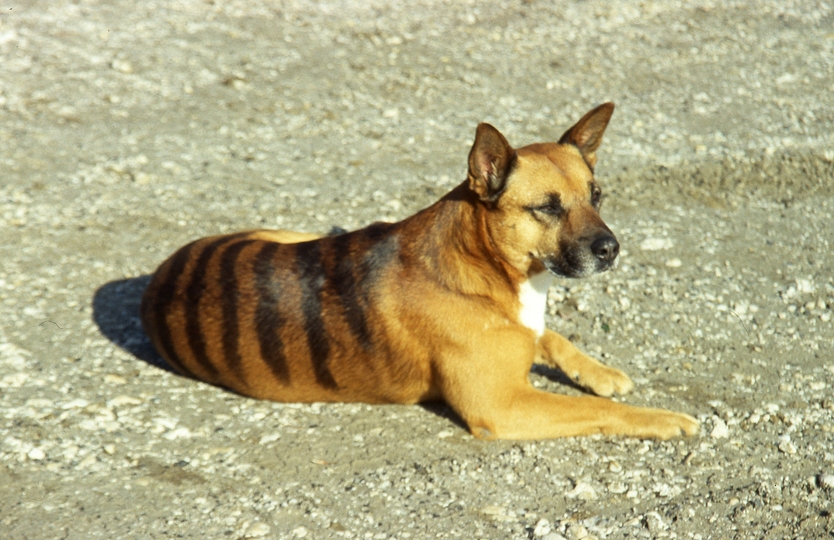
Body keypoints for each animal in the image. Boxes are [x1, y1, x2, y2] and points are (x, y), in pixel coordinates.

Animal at [141, 103, 696, 440]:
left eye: (597, 196)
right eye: (547, 208)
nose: (612, 249)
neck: (485, 263)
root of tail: (160, 276)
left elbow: (552, 337)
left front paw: (597, 371)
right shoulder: (503, 405)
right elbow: (601, 410)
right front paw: (661, 418)